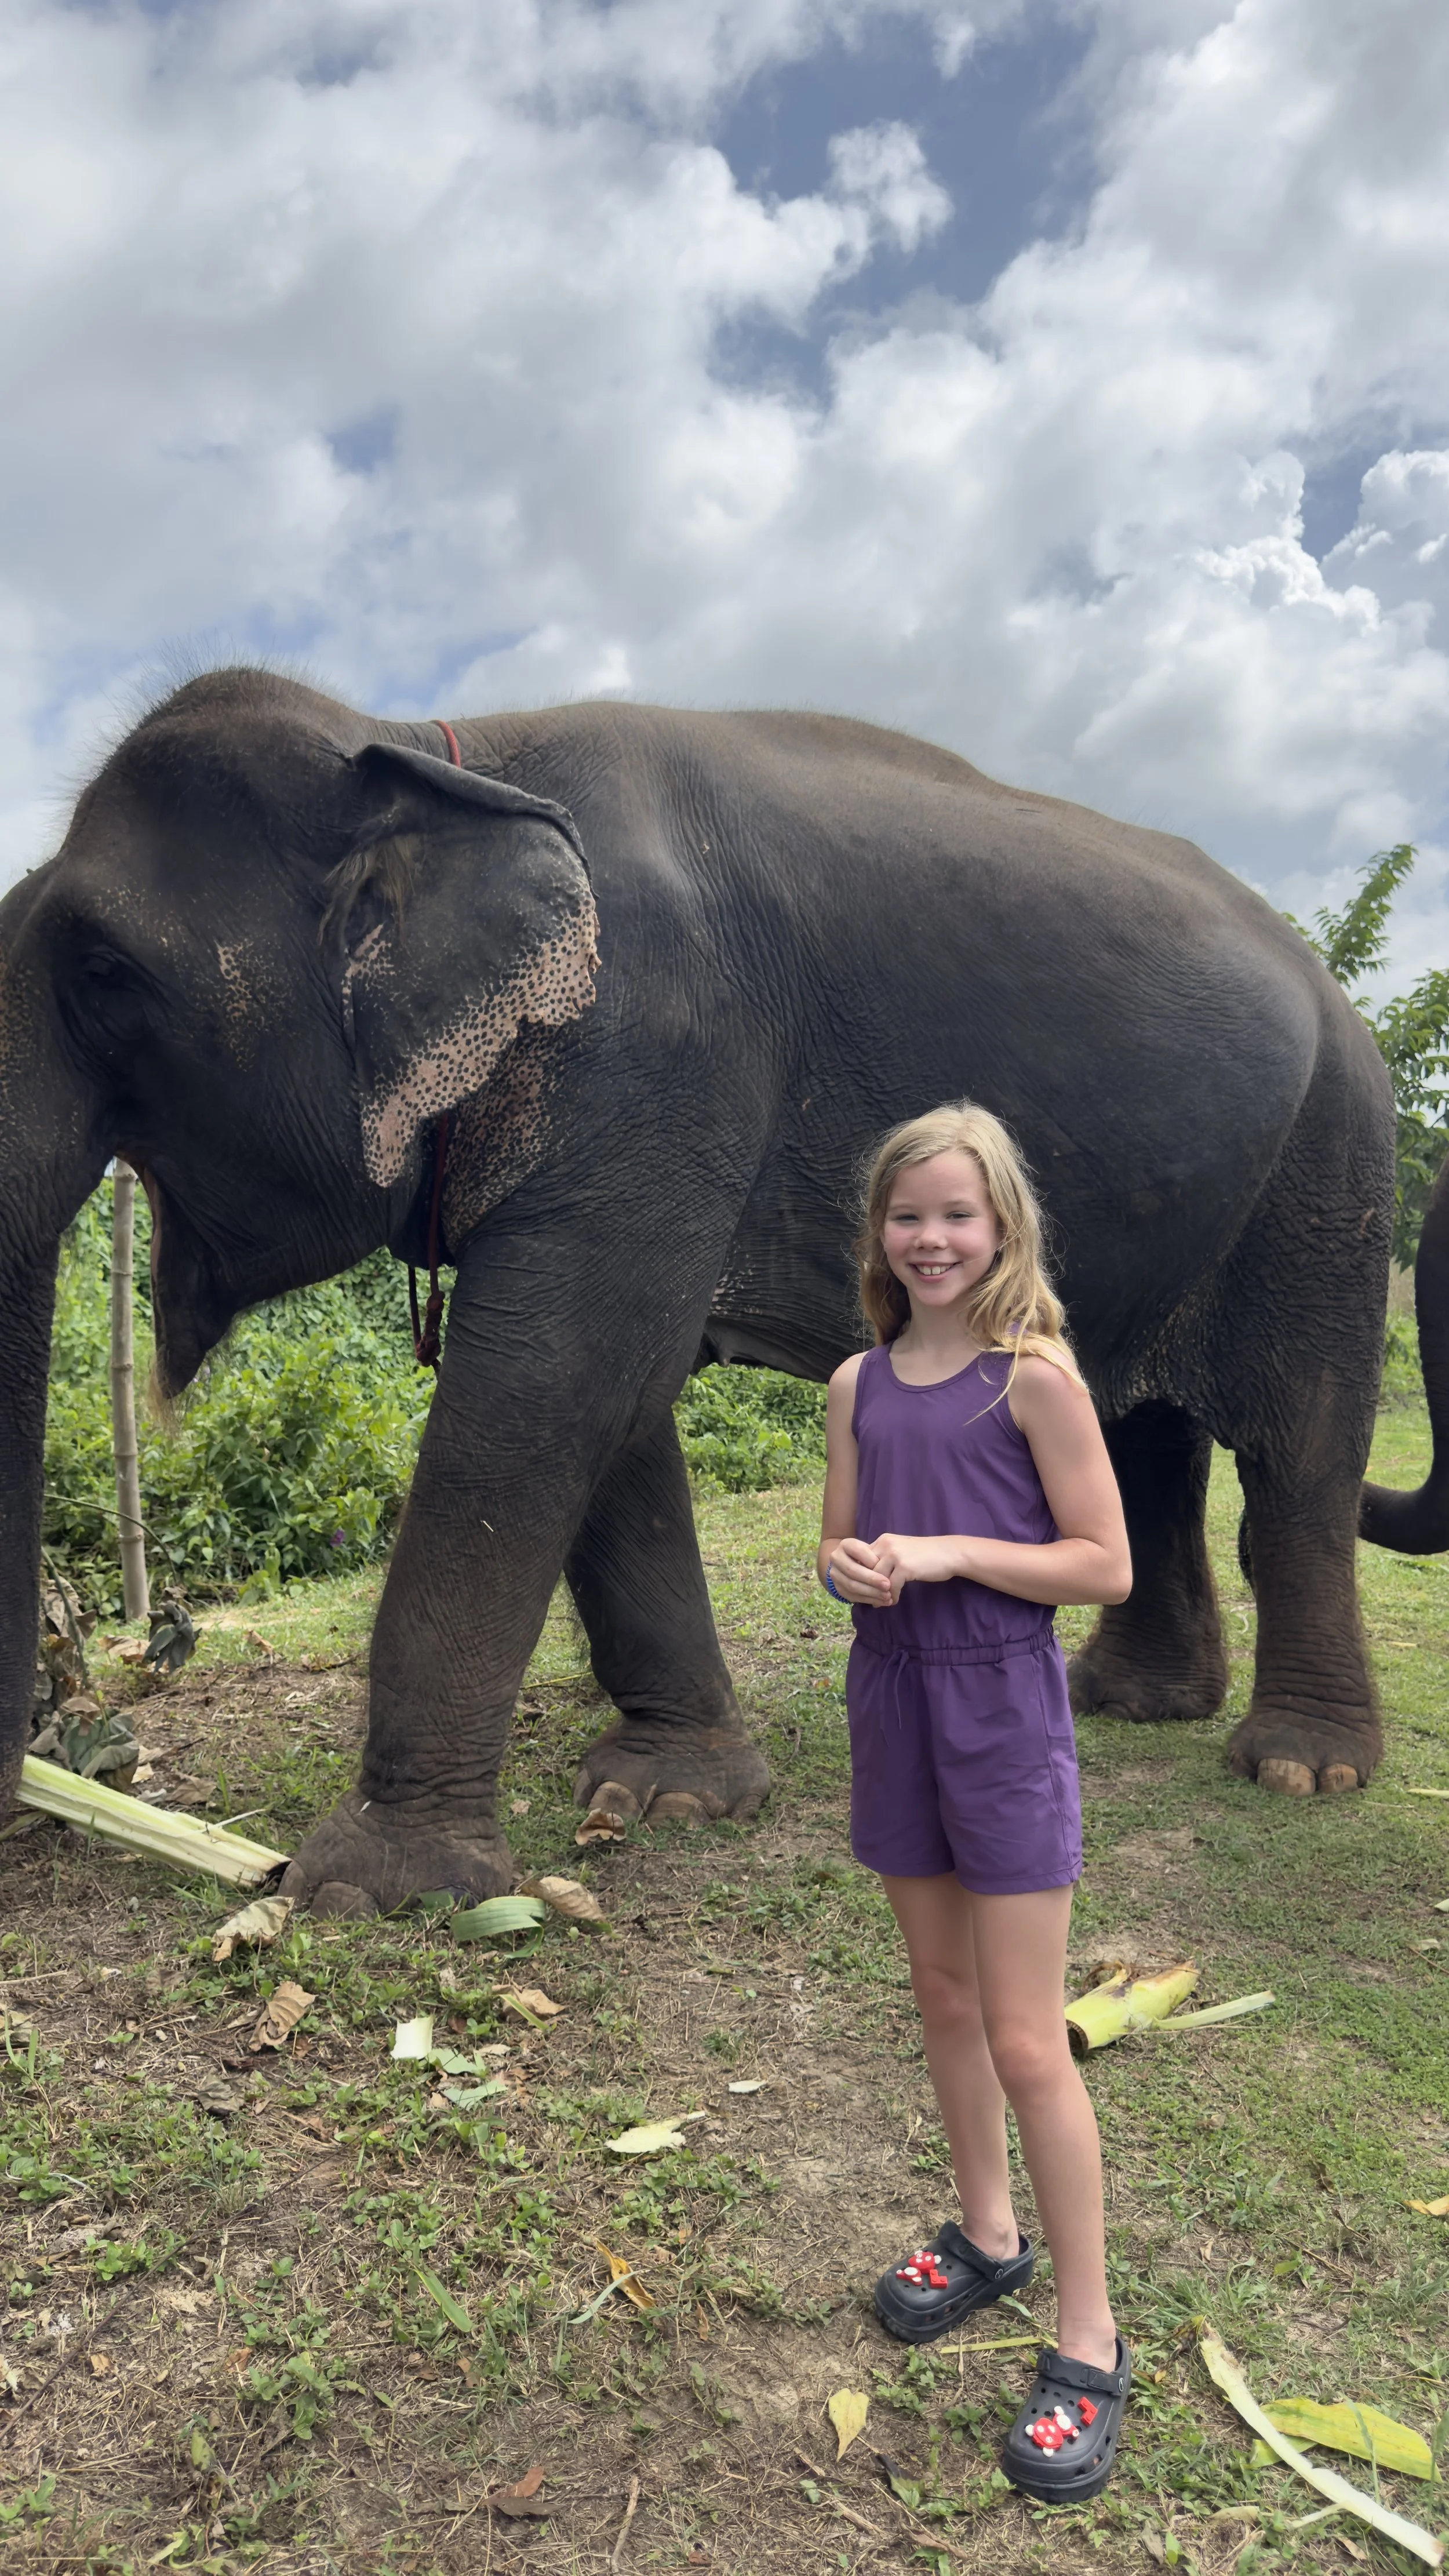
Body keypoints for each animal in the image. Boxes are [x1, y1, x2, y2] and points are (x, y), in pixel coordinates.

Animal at [1, 667, 1443, 1915]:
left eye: (105, 973)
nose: (48, 1789)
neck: (427, 742)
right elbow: (614, 1403)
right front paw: (674, 1796)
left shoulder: (656, 1054)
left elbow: (548, 1384)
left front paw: (375, 1889)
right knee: (1133, 1425)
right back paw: (1131, 1704)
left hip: (1329, 1169)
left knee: (1298, 1453)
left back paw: (1297, 1765)